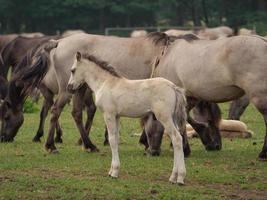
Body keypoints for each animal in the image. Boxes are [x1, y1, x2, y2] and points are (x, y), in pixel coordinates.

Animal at [67, 52, 188, 185]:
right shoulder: (117, 116)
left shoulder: (108, 115)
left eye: (73, 70)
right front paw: (111, 171)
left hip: (164, 117)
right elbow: (116, 139)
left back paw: (180, 178)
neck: (105, 83)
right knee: (177, 139)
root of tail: (173, 87)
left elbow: (112, 140)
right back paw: (173, 177)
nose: (69, 88)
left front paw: (114, 172)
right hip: (172, 118)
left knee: (176, 138)